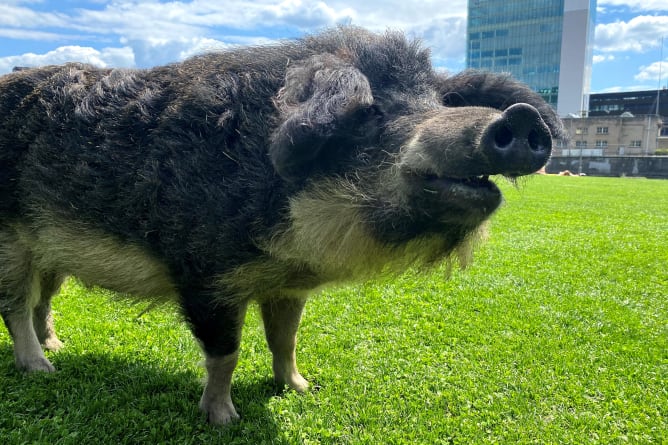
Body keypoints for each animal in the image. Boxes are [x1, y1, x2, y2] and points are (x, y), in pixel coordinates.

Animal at [0, 26, 560, 424]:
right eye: (372, 113)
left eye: (439, 103)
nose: (523, 117)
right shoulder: (204, 275)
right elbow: (225, 353)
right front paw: (224, 420)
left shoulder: (288, 284)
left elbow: (285, 339)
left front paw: (301, 388)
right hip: (11, 243)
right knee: (15, 307)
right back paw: (42, 369)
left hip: (51, 250)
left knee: (43, 300)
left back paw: (57, 348)